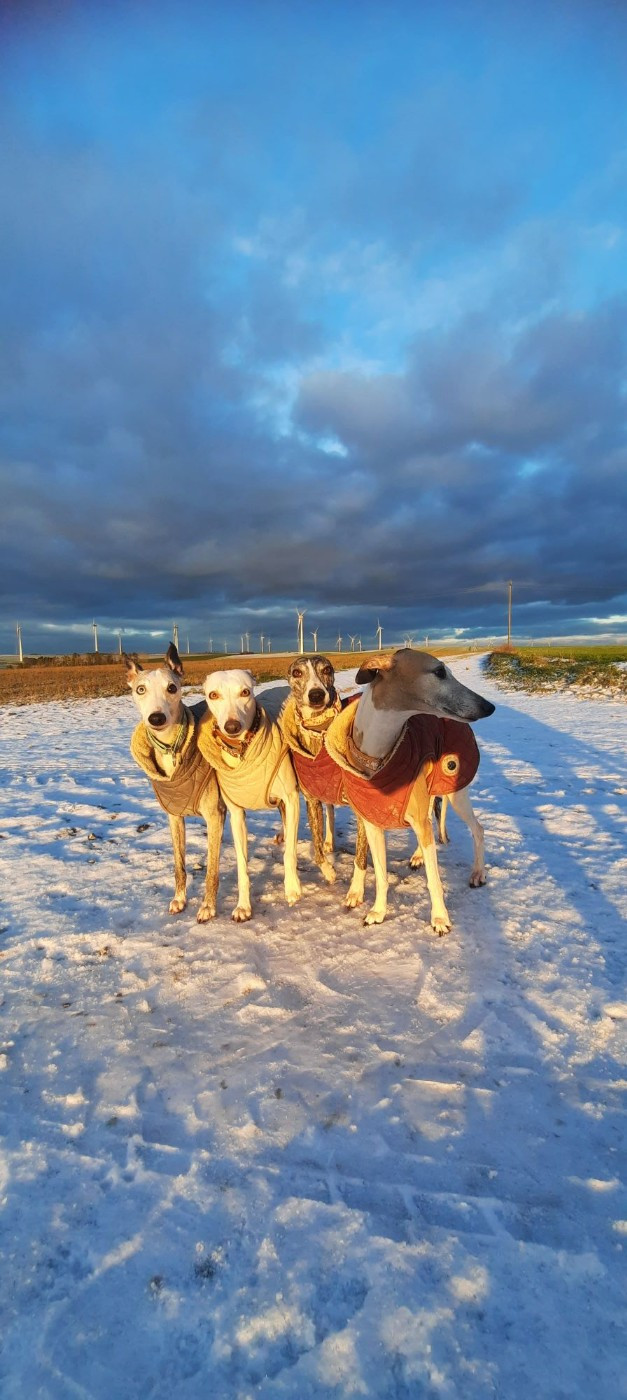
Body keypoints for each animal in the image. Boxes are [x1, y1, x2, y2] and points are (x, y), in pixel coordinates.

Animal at [125, 643, 225, 920]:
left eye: (172, 687)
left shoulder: (214, 816)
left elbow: (212, 870)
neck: (173, 748)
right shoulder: (174, 817)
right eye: (140, 689)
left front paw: (208, 906)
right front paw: (180, 899)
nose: (156, 718)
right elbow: (179, 865)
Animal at [197, 670, 302, 921]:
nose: (232, 726)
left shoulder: (292, 798)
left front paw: (292, 888)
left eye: (245, 692)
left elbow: (289, 854)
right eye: (213, 695)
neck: (242, 752)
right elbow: (242, 865)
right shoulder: (236, 814)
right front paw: (243, 906)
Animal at [281, 654, 369, 905]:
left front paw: (356, 892)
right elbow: (317, 847)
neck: (318, 732)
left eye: (327, 670)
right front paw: (329, 871)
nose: (316, 695)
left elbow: (360, 856)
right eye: (297, 672)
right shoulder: (311, 799)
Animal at [325, 649, 495, 933]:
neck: (379, 755)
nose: (489, 707)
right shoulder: (372, 823)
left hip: (456, 792)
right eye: (439, 671)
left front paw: (440, 919)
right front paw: (378, 911)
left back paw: (478, 873)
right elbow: (381, 874)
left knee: (477, 830)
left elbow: (434, 880)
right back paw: (417, 856)